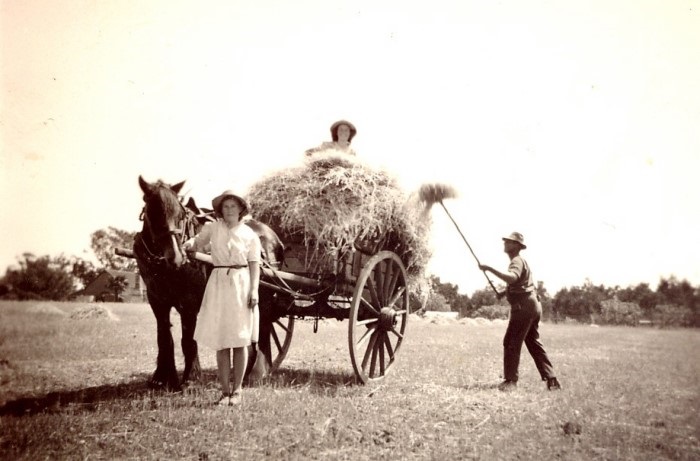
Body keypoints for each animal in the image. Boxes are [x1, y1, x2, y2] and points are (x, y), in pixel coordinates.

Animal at [134, 175, 288, 388]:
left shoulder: (188, 300)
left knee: (263, 327)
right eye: (153, 213)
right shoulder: (156, 299)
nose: (176, 258)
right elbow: (164, 337)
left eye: (180, 214)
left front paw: (191, 377)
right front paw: (162, 377)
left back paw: (257, 373)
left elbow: (188, 338)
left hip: (263, 295)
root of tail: (273, 236)